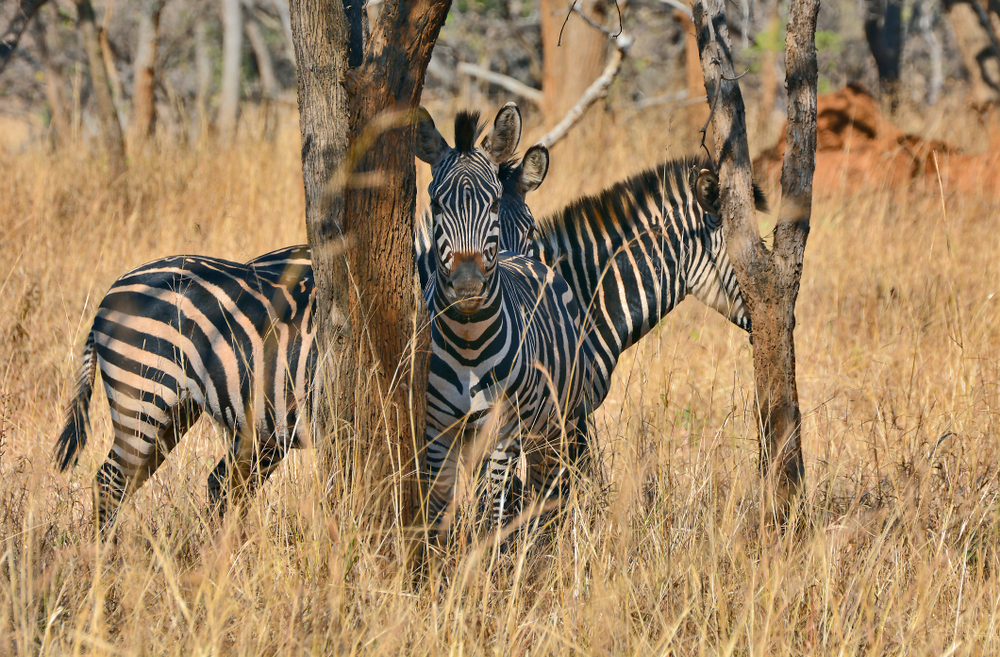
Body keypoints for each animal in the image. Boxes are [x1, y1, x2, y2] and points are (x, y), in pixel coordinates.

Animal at [52, 102, 556, 532]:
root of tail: (111, 293)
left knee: (165, 485)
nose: (471, 287)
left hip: (179, 411)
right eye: (435, 204)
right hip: (144, 398)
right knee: (109, 484)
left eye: (527, 228)